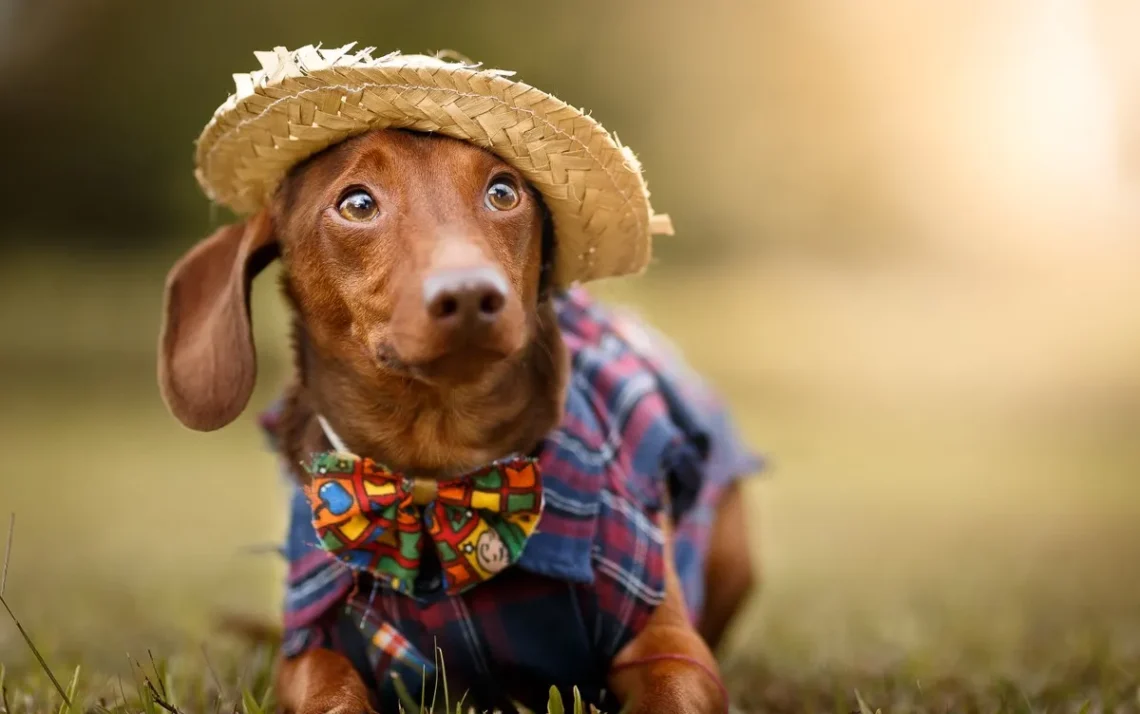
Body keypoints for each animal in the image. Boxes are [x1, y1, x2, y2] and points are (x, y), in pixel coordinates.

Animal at [158, 129, 756, 711]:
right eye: (357, 204)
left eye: (504, 192)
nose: (470, 294)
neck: (436, 473)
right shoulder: (311, 646)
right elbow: (331, 693)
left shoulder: (668, 647)